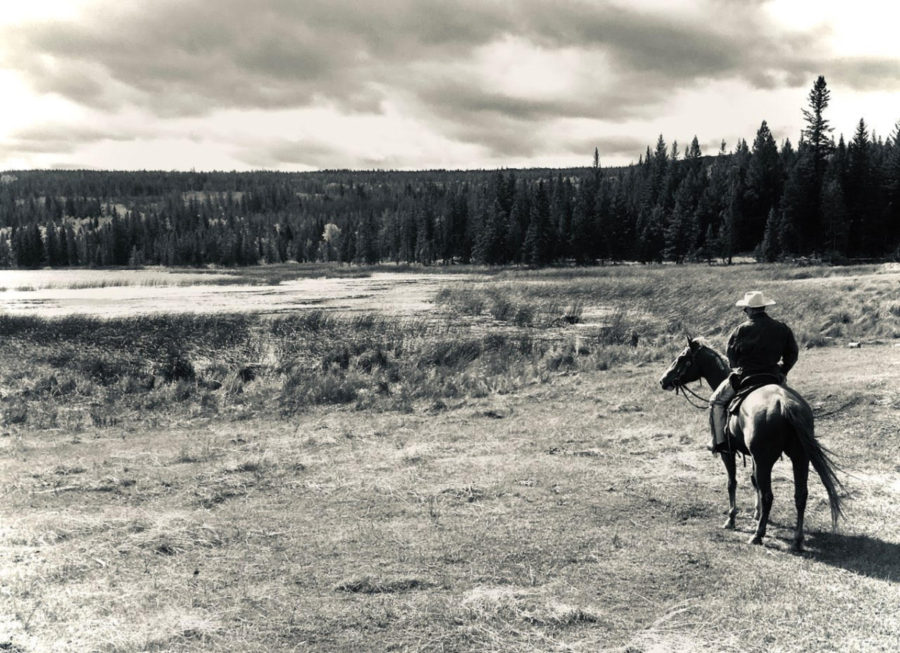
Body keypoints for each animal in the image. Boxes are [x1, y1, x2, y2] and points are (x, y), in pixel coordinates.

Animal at [656, 336, 840, 552]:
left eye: (682, 357)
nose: (663, 380)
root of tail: (784, 404)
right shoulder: (753, 457)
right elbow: (754, 482)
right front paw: (757, 514)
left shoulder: (728, 453)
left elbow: (732, 483)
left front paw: (731, 519)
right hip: (799, 457)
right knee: (800, 495)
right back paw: (796, 539)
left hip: (766, 460)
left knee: (769, 495)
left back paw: (758, 535)